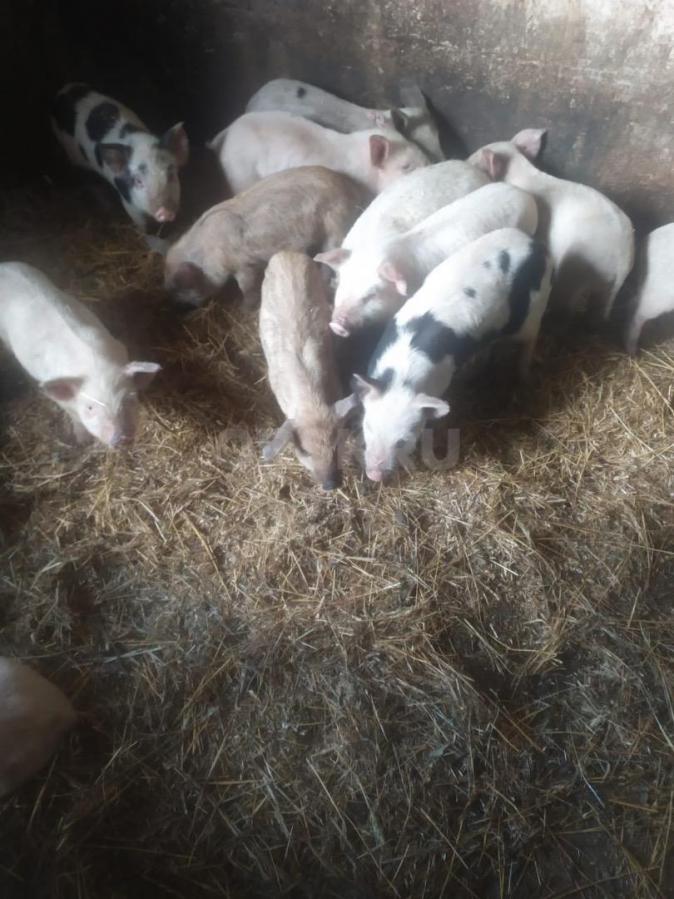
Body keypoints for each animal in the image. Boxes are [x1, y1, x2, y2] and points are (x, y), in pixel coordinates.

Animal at [0, 263, 160, 446]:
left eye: (128, 399)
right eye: (90, 407)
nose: (121, 438)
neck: (96, 367)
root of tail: (4, 265)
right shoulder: (63, 400)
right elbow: (75, 417)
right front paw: (82, 441)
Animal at [51, 83, 189, 247]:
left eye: (171, 174)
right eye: (138, 181)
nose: (165, 211)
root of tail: (63, 90)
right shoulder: (128, 200)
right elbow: (140, 223)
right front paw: (147, 236)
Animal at [164, 166, 370, 309]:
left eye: (179, 289)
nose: (174, 307)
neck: (207, 254)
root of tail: (352, 188)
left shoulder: (243, 266)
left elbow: (247, 288)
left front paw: (244, 308)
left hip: (336, 225)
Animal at [352, 228, 552, 482]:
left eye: (401, 441)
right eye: (368, 426)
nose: (374, 475)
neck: (401, 377)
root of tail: (535, 245)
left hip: (534, 310)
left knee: (530, 341)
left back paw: (524, 376)